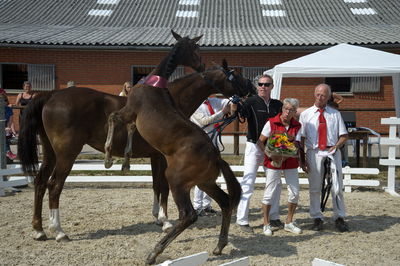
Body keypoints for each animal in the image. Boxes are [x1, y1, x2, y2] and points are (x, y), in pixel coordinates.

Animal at [103, 55, 247, 264]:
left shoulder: (130, 111)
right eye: (235, 76)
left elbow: (114, 117)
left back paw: (154, 253)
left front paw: (111, 157)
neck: (155, 85)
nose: (251, 89)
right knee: (225, 202)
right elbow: (126, 126)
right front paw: (123, 160)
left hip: (177, 181)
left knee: (188, 215)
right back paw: (219, 246)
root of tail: (216, 156)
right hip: (205, 183)